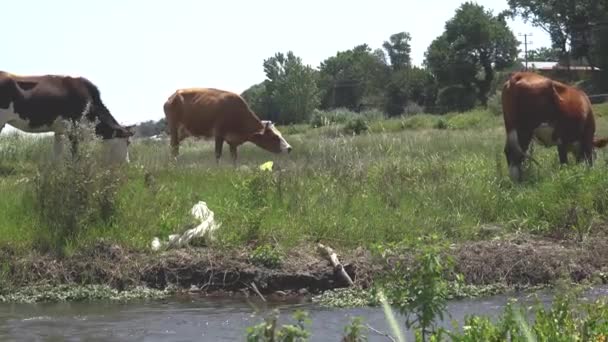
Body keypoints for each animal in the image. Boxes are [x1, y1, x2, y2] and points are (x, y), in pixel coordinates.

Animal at [0, 71, 134, 163]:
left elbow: (57, 154)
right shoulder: (73, 129)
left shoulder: (59, 131)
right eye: (128, 142)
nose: (127, 163)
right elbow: (75, 153)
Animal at [164, 87, 292, 164]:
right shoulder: (219, 134)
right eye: (274, 137)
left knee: (174, 149)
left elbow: (234, 158)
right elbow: (217, 155)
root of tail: (173, 96)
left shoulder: (233, 141)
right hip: (174, 129)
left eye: (280, 134)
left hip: (181, 133)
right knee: (174, 150)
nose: (289, 148)